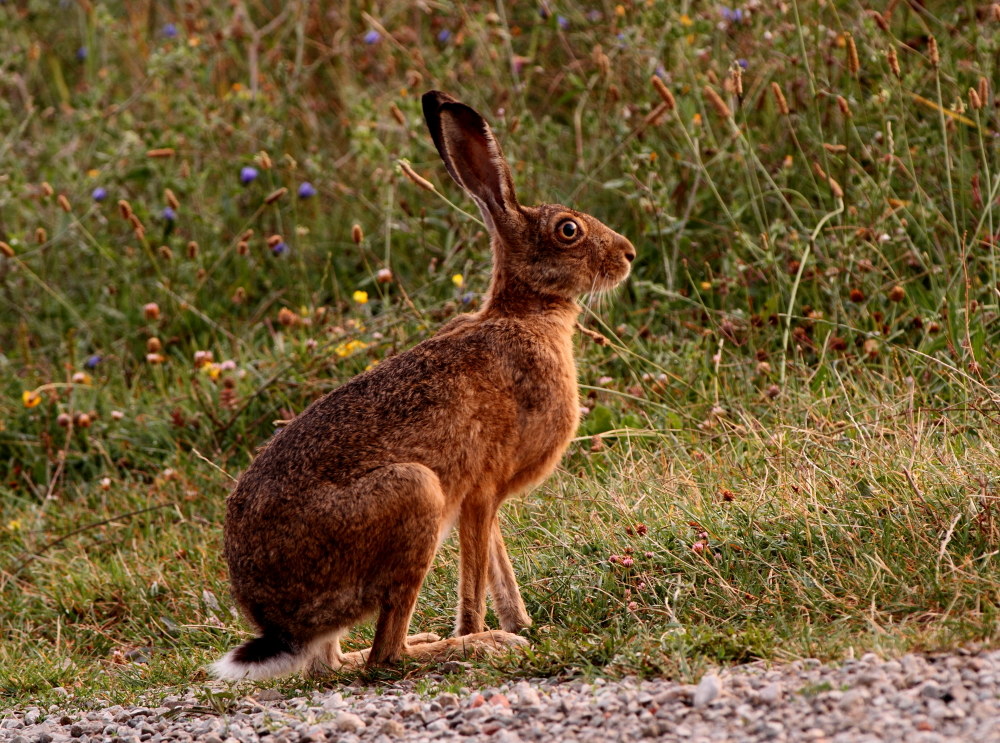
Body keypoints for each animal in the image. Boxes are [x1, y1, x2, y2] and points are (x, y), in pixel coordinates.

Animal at [211, 90, 636, 681]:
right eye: (568, 230)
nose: (629, 254)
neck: (526, 313)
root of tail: (278, 625)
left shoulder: (483, 501)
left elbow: (497, 567)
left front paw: (524, 625)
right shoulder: (480, 491)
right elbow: (476, 579)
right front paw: (488, 634)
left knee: (334, 663)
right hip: (414, 495)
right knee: (385, 654)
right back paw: (460, 648)